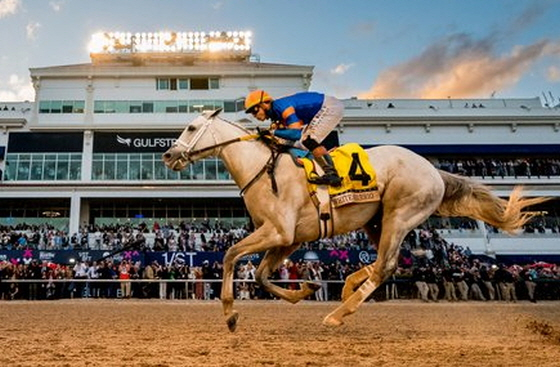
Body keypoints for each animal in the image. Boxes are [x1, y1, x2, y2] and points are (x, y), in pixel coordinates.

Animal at [162, 110, 548, 334]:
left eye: (192, 127)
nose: (168, 155)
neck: (263, 168)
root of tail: (432, 169)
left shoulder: (278, 231)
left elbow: (230, 256)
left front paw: (229, 313)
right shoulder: (289, 238)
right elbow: (260, 274)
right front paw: (304, 290)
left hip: (399, 214)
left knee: (385, 266)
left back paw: (338, 313)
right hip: (376, 222)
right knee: (385, 263)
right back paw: (347, 287)